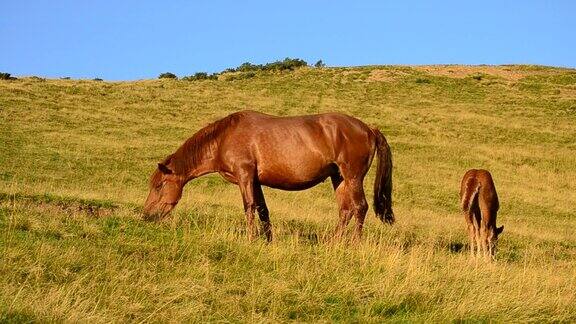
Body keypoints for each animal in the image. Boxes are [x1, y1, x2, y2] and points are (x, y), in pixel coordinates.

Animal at [142, 110, 394, 240]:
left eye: (159, 186)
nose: (146, 216)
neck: (224, 137)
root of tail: (369, 129)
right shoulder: (255, 181)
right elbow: (263, 210)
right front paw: (267, 239)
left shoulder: (244, 175)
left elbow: (249, 207)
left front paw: (250, 238)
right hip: (339, 178)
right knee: (345, 210)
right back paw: (333, 242)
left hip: (352, 177)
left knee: (360, 208)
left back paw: (353, 243)